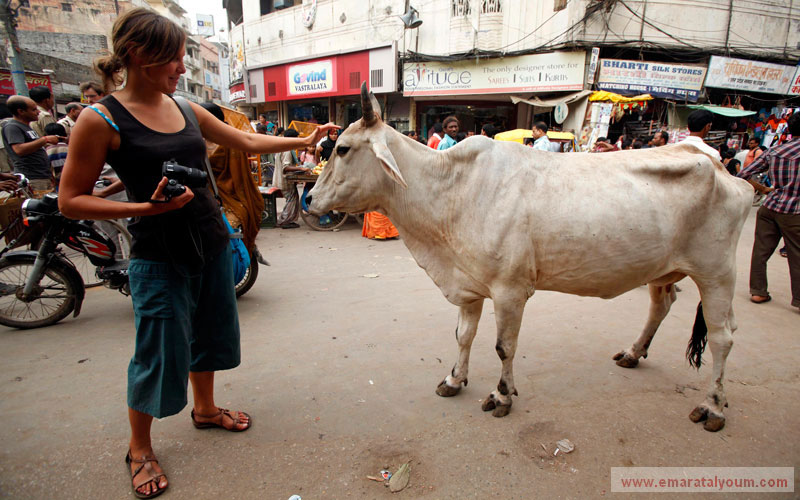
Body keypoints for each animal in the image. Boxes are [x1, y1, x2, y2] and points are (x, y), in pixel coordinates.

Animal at [308, 85, 756, 430]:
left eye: (342, 148)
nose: (310, 198)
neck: (450, 189)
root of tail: (718, 164)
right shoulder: (470, 286)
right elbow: (463, 336)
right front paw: (454, 379)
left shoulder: (510, 291)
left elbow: (504, 347)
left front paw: (502, 395)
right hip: (663, 269)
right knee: (663, 305)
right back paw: (633, 352)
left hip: (717, 274)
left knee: (723, 337)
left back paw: (713, 406)